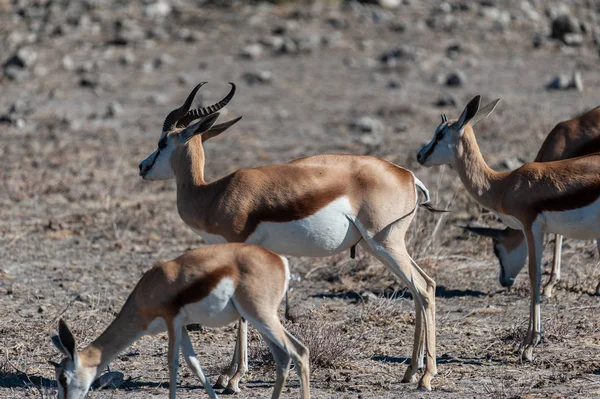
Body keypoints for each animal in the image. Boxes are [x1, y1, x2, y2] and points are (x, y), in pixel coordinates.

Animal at [48, 244, 310, 399]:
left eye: (63, 378)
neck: (148, 290)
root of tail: (279, 261)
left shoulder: (171, 320)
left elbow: (173, 362)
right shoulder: (182, 326)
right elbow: (194, 363)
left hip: (260, 315)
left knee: (299, 351)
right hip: (260, 321)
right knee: (283, 357)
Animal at [139, 83, 440, 392]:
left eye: (162, 143)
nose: (142, 167)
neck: (212, 194)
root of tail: (407, 175)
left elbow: (243, 317)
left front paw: (234, 378)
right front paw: (227, 375)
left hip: (385, 243)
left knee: (424, 288)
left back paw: (426, 376)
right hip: (379, 246)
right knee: (420, 288)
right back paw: (410, 371)